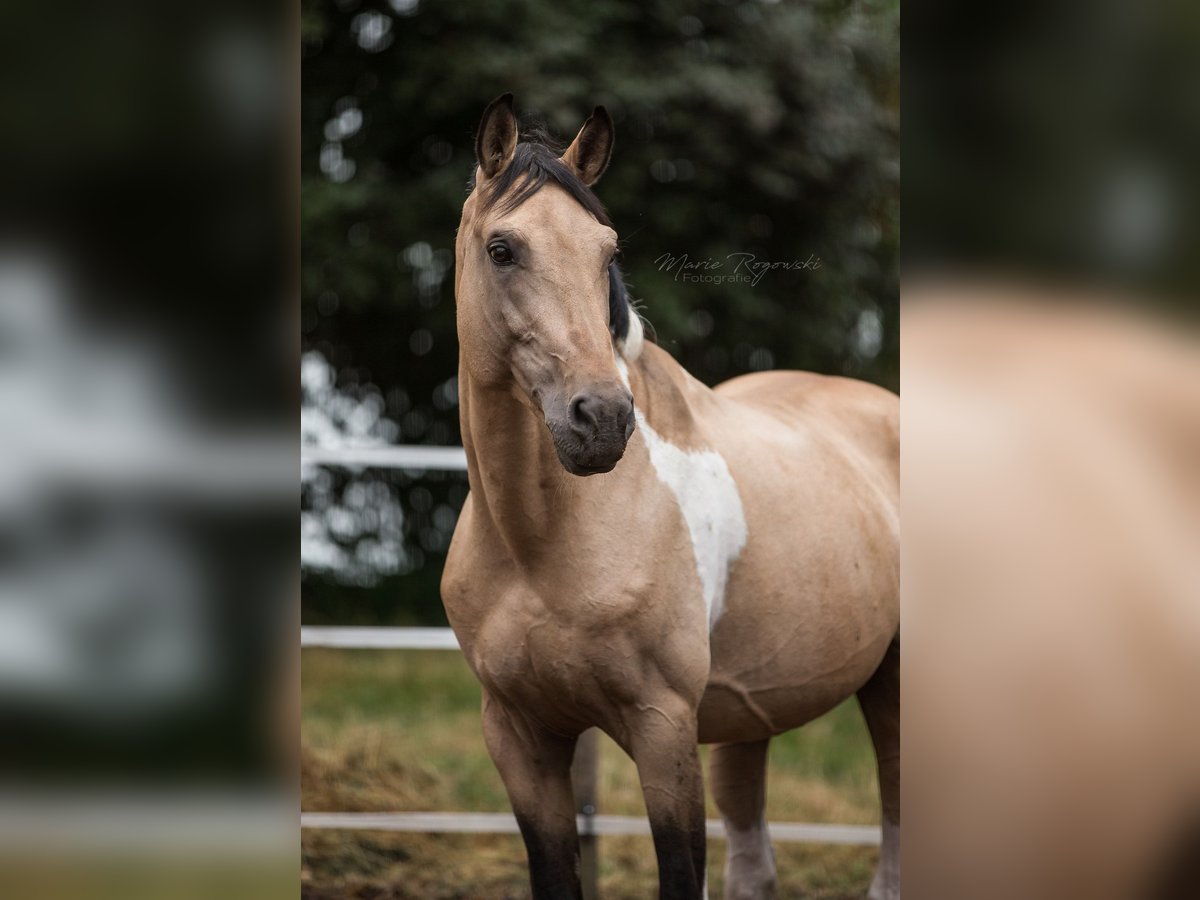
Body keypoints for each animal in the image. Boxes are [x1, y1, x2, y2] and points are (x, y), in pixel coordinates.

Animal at [442, 94, 900, 900]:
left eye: (606, 252)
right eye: (502, 249)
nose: (602, 420)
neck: (540, 544)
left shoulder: (663, 729)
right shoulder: (520, 738)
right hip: (752, 722)